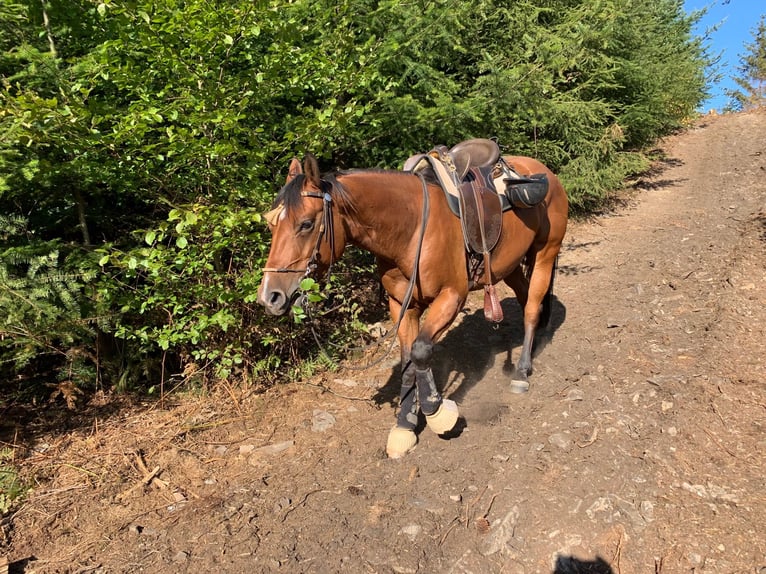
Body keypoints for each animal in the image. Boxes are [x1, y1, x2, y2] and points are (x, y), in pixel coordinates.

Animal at [257, 152, 568, 458]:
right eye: (271, 224)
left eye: (306, 224)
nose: (270, 297)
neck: (412, 228)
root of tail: (544, 172)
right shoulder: (401, 304)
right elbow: (407, 361)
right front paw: (405, 425)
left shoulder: (452, 296)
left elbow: (420, 351)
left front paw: (437, 412)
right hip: (509, 265)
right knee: (526, 299)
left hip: (545, 253)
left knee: (531, 308)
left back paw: (522, 371)